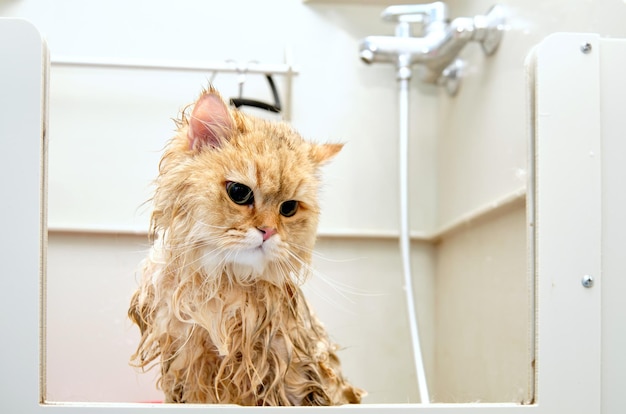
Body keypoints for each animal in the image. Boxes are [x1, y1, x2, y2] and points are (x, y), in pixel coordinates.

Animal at [127, 85, 360, 406]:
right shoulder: (184, 365)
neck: (224, 287)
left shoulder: (291, 371)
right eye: (239, 193)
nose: (268, 231)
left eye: (289, 209)